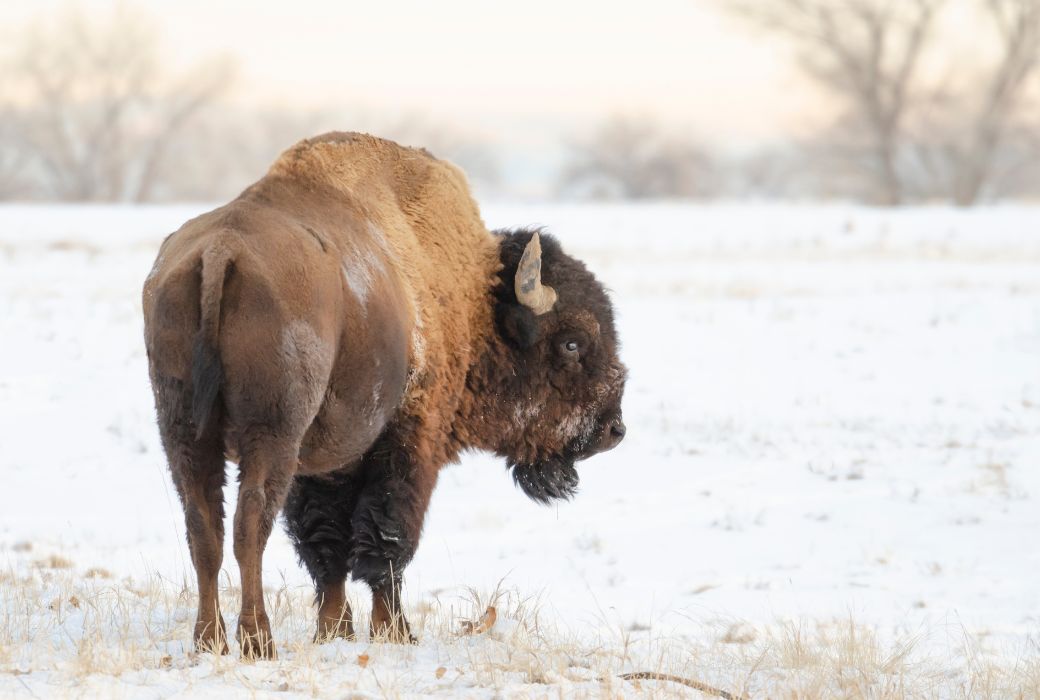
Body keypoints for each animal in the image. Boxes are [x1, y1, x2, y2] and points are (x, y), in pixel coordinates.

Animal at [143, 132, 628, 657]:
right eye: (572, 343)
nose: (613, 429)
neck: (473, 296)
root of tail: (220, 250)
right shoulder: (408, 443)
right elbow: (388, 538)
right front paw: (394, 631)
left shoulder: (328, 461)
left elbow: (327, 545)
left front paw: (334, 629)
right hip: (271, 433)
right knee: (250, 522)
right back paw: (257, 640)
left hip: (184, 430)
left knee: (203, 526)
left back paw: (209, 639)